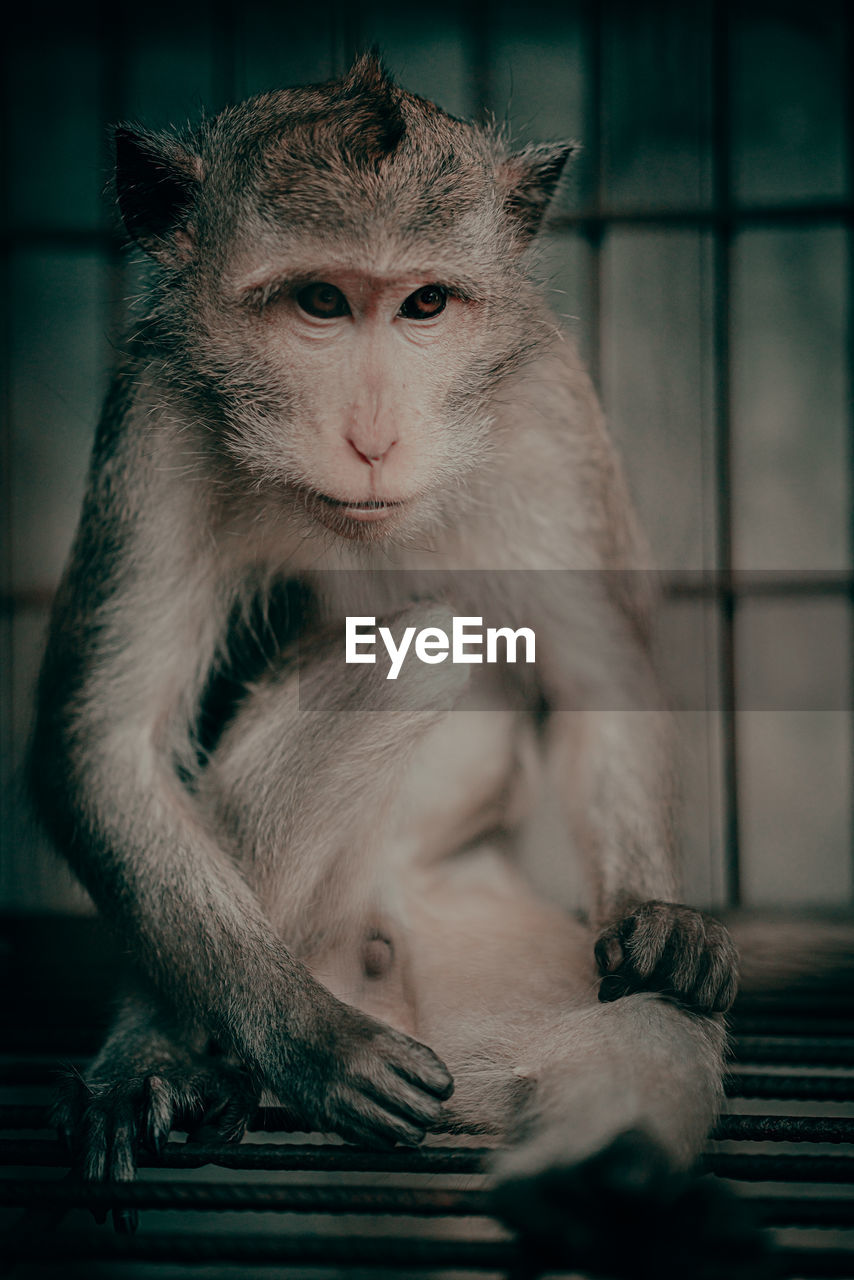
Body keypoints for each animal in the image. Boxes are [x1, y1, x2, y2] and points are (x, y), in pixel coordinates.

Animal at [31, 55, 742, 1264]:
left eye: (424, 306)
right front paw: (305, 1042)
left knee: (645, 1019)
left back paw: (597, 1178)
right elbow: (106, 742)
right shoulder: (158, 415)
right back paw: (175, 1050)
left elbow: (596, 681)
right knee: (424, 648)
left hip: (482, 939)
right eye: (321, 303)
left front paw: (662, 918)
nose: (373, 437)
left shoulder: (542, 401)